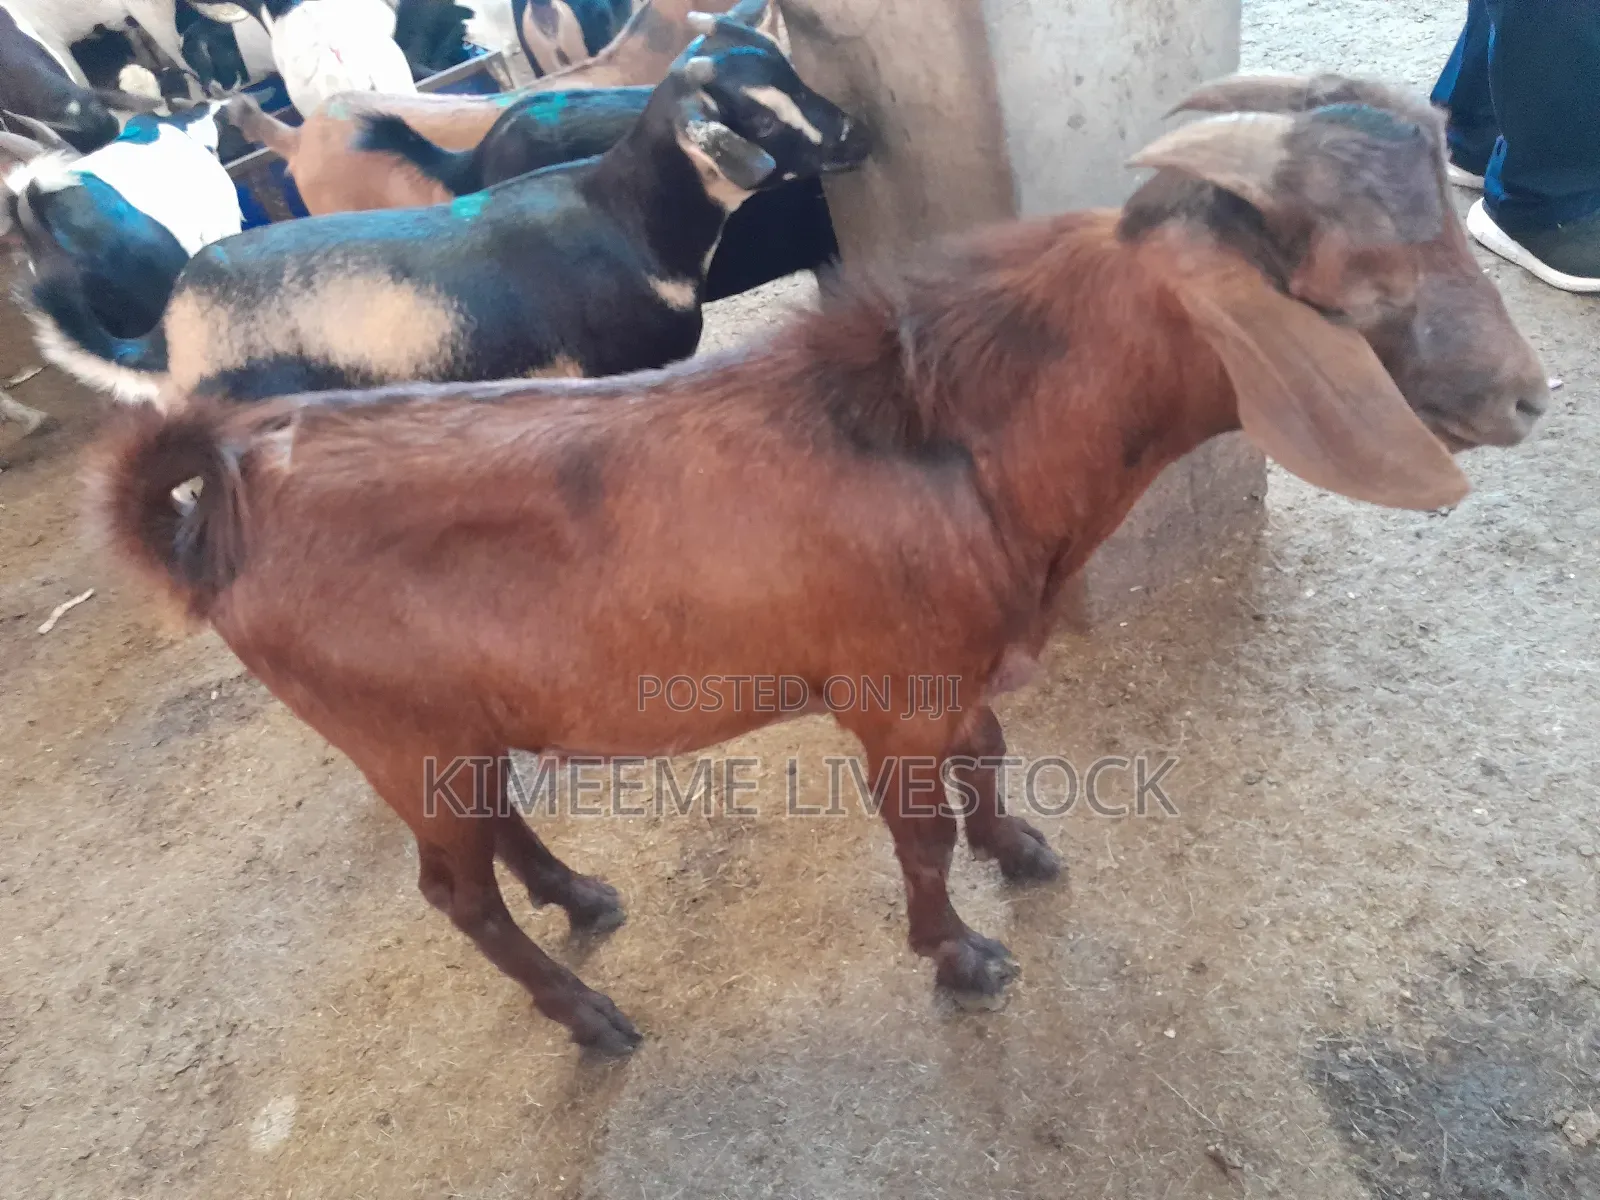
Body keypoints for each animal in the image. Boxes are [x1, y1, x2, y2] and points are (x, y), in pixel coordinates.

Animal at [91, 76, 1549, 1051]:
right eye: (1361, 278)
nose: (1528, 398)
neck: (950, 439)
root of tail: (222, 502)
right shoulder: (887, 693)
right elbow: (917, 833)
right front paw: (960, 957)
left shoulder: (960, 666)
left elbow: (988, 759)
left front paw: (1022, 849)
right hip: (388, 731)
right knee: (452, 891)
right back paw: (591, 1016)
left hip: (451, 725)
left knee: (496, 824)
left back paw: (583, 895)